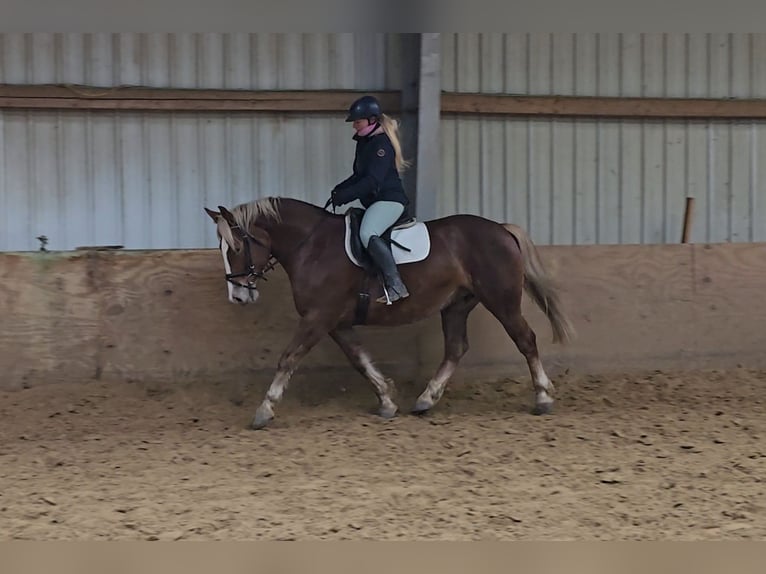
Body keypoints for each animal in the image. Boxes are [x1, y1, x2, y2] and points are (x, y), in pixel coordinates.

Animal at [204, 196, 576, 430]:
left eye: (236, 247)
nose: (238, 295)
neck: (311, 246)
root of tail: (501, 228)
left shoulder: (318, 317)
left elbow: (288, 357)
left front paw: (264, 410)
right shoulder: (334, 322)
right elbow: (359, 359)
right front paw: (386, 400)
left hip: (501, 299)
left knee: (525, 340)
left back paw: (543, 398)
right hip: (456, 305)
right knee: (456, 348)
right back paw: (426, 400)